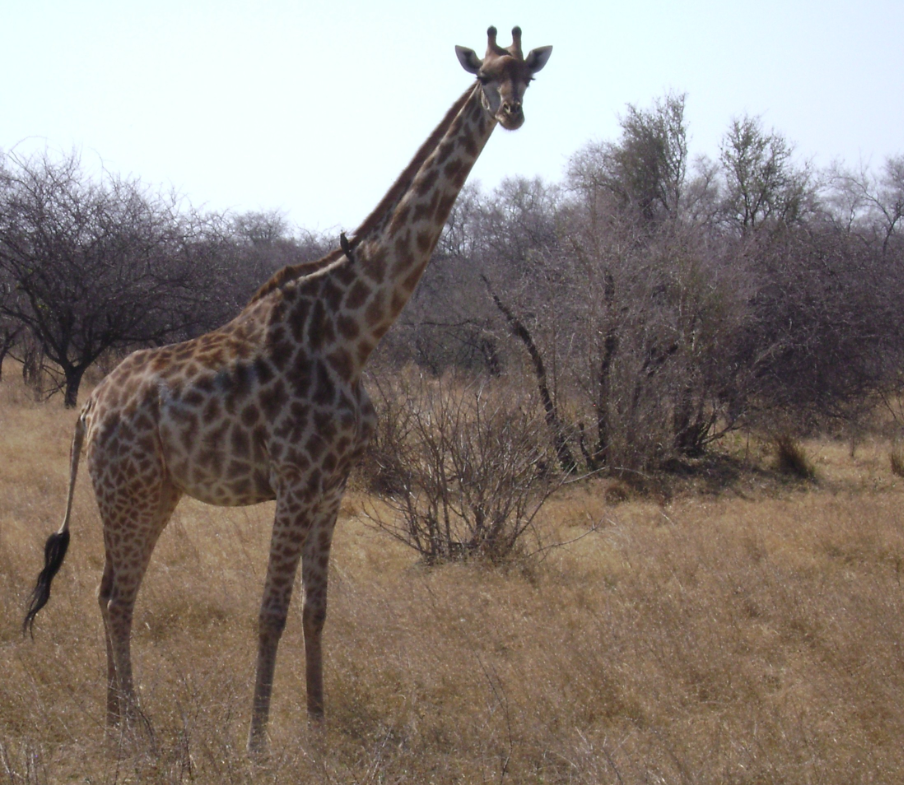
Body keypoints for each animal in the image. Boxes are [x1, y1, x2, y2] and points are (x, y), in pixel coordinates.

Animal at [23, 26, 552, 752]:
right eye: (484, 77)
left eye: (527, 75)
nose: (513, 114)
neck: (354, 332)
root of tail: (89, 410)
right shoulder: (297, 481)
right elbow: (269, 611)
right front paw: (256, 742)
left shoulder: (332, 486)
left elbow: (315, 608)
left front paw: (319, 728)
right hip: (127, 490)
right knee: (116, 594)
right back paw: (133, 728)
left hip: (153, 491)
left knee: (110, 592)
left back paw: (123, 724)